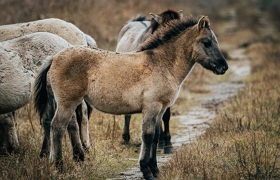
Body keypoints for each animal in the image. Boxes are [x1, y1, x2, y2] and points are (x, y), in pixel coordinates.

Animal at [34, 15, 229, 180]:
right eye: (206, 42)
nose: (223, 67)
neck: (162, 64)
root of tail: (54, 57)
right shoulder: (151, 107)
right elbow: (148, 136)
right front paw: (146, 171)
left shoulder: (161, 109)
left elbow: (156, 136)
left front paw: (155, 170)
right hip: (67, 102)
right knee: (58, 127)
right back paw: (59, 166)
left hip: (62, 102)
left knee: (58, 125)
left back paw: (55, 160)